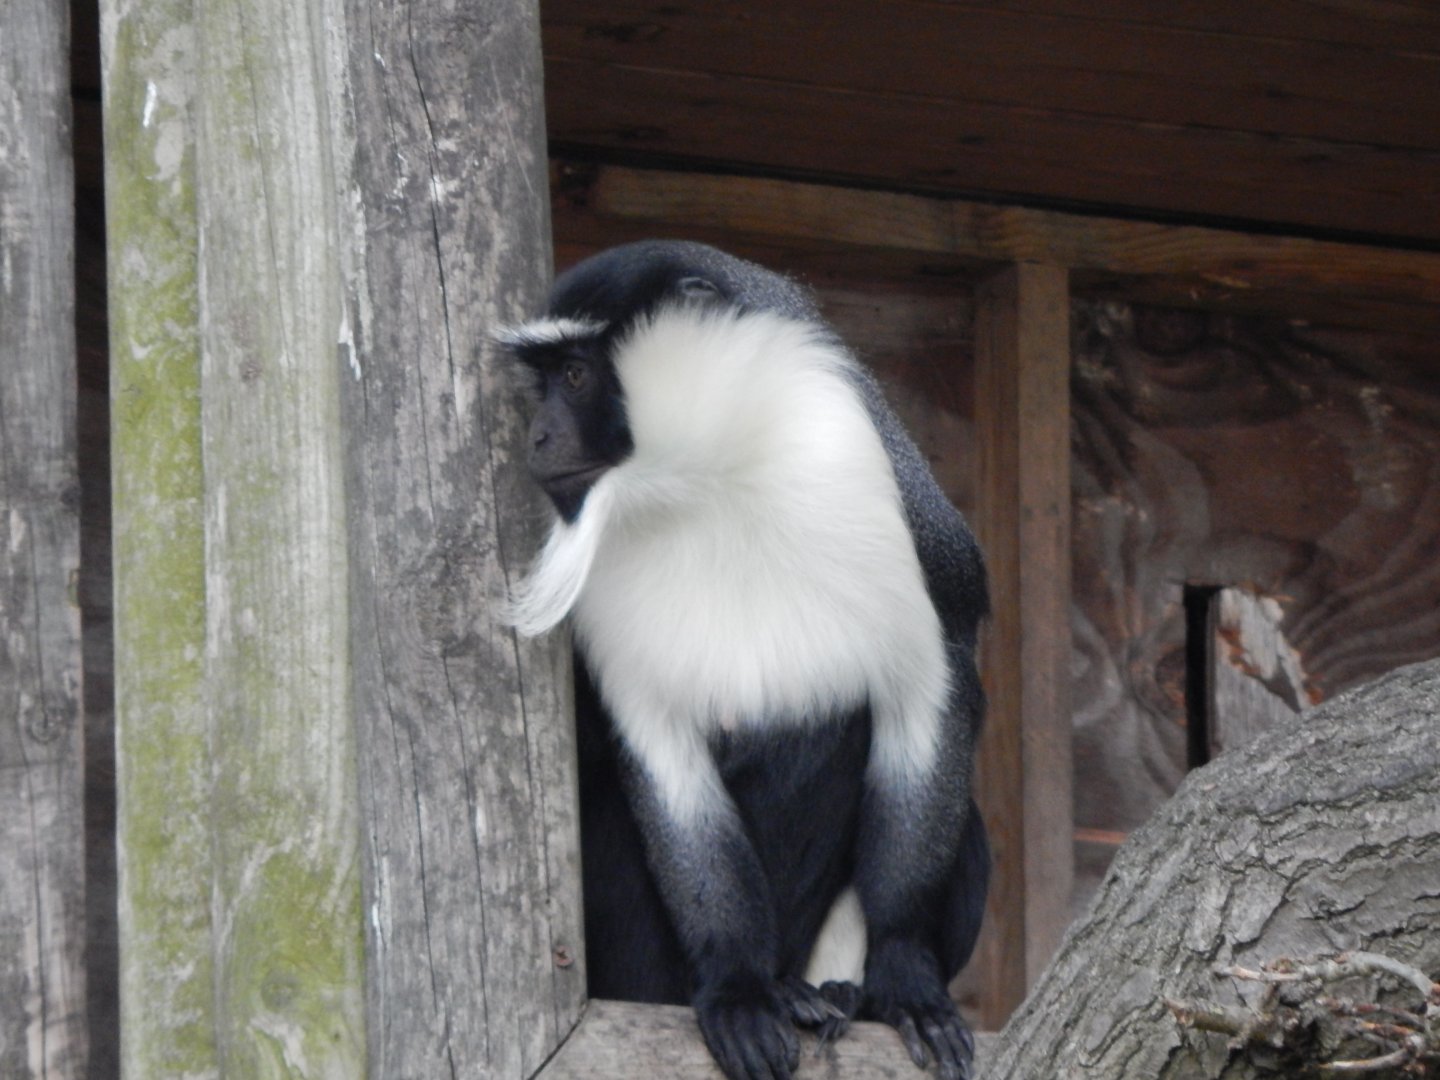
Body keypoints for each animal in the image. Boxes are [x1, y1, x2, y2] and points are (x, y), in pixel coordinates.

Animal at [499, 241, 989, 1080]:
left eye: (576, 375)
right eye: (546, 377)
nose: (536, 437)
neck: (707, 480)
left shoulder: (895, 516)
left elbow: (932, 696)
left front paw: (901, 974)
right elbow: (663, 770)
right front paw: (737, 990)